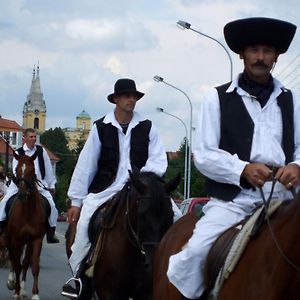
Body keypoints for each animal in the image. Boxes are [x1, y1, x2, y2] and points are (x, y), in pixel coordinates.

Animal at [4, 152, 48, 300]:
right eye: (16, 169)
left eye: (32, 170)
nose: (22, 194)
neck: (28, 211)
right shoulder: (15, 240)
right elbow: (16, 265)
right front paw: (16, 291)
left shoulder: (36, 239)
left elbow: (33, 266)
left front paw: (35, 294)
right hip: (9, 239)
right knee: (12, 259)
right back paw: (12, 283)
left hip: (27, 243)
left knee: (25, 262)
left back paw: (22, 288)